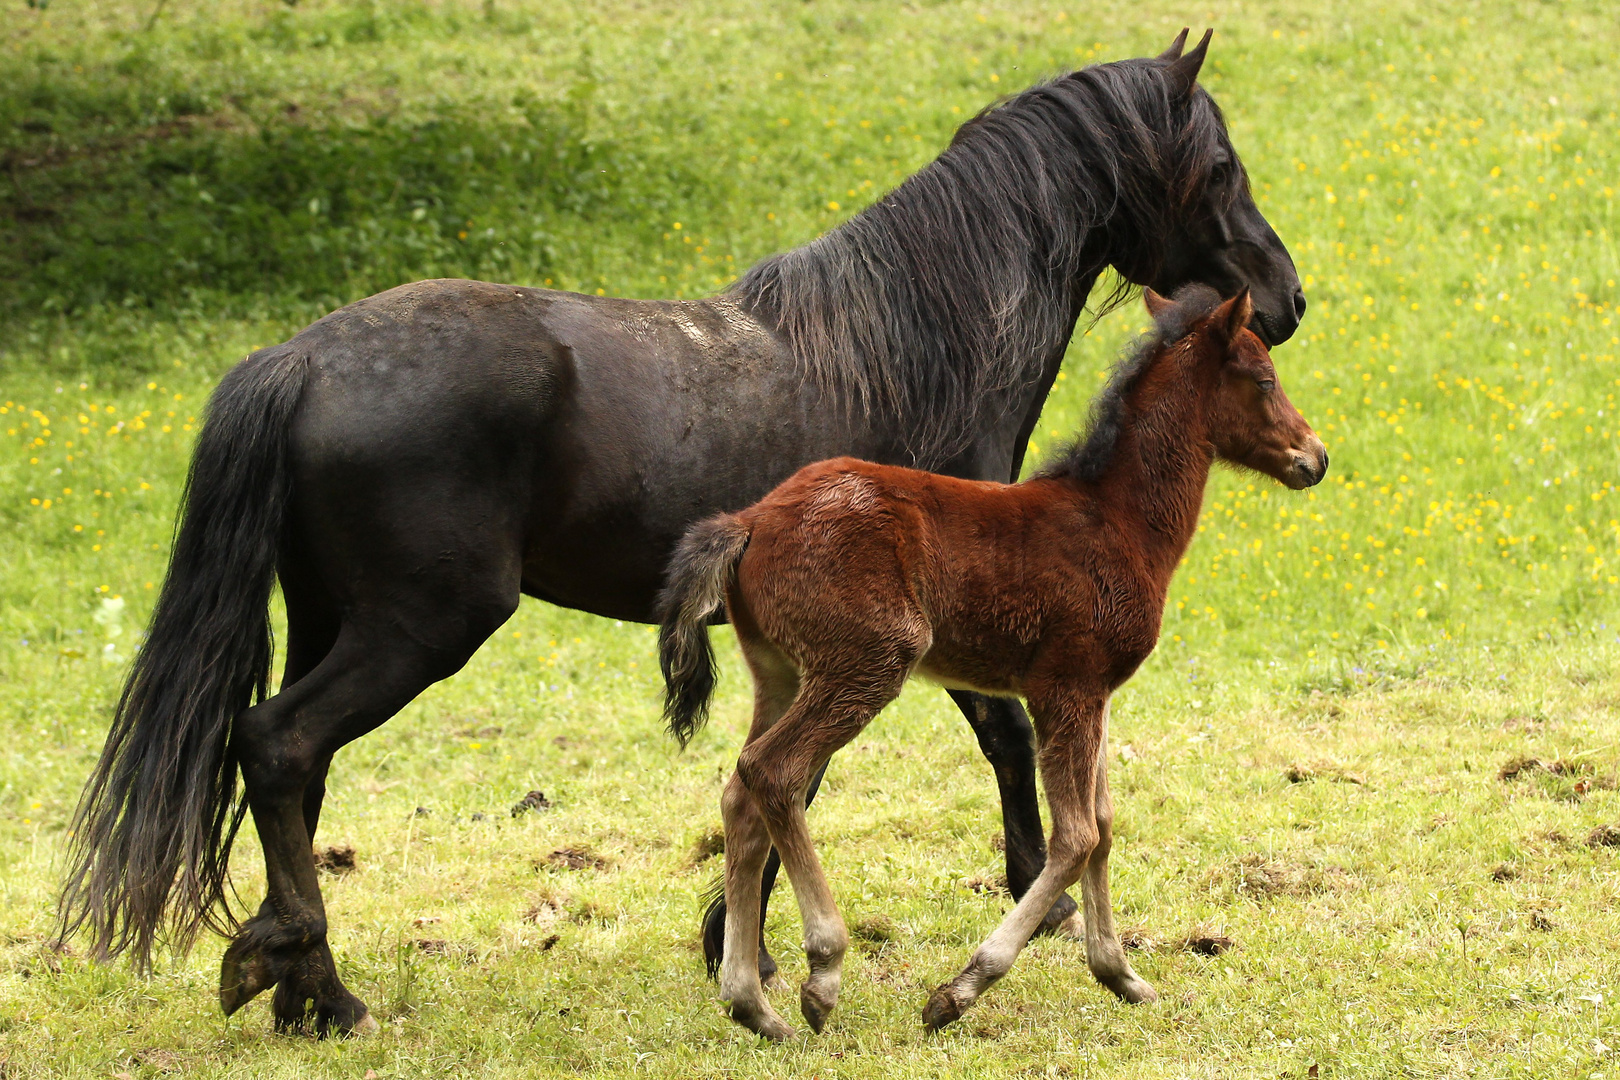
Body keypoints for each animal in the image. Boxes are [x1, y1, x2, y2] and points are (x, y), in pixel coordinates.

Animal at [657, 286, 1328, 1036]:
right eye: (1263, 378)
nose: (1315, 457)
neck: (1117, 520)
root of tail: (749, 521)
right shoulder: (1065, 688)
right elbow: (1075, 837)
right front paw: (962, 988)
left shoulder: (1096, 695)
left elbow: (1104, 827)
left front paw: (1120, 973)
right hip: (869, 661)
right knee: (775, 772)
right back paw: (823, 970)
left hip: (780, 673)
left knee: (741, 794)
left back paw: (751, 1002)